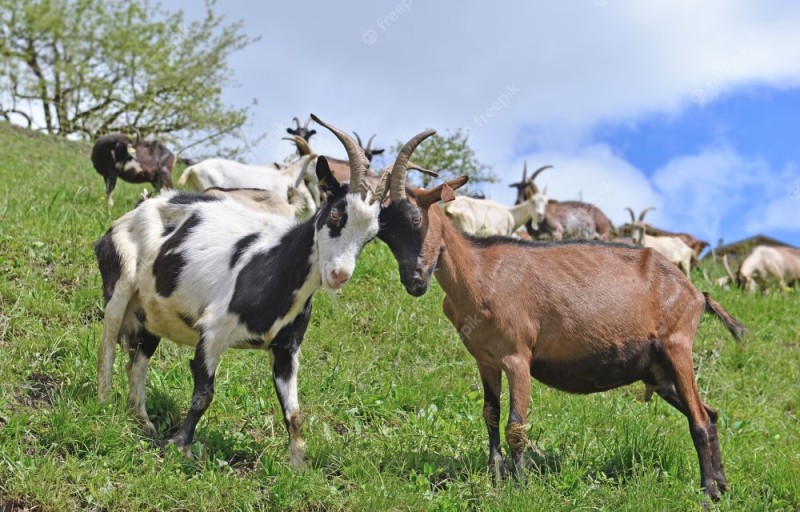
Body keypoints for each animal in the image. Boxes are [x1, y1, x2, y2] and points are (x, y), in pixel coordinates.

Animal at [94, 118, 434, 466]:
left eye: (370, 236)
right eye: (336, 214)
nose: (339, 274)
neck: (273, 266)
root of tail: (140, 208)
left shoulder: (286, 349)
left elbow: (294, 413)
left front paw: (298, 466)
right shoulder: (213, 333)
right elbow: (204, 395)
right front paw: (180, 446)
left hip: (152, 311)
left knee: (139, 360)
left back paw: (142, 420)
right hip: (120, 284)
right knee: (107, 345)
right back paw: (104, 404)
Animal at [378, 176, 748, 500]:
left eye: (416, 219)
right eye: (384, 235)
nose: (414, 281)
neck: (480, 274)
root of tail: (697, 294)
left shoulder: (518, 357)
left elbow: (516, 427)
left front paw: (519, 488)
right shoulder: (486, 360)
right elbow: (490, 414)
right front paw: (495, 475)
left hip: (677, 346)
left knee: (700, 420)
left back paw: (708, 493)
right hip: (658, 371)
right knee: (710, 414)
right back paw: (724, 485)